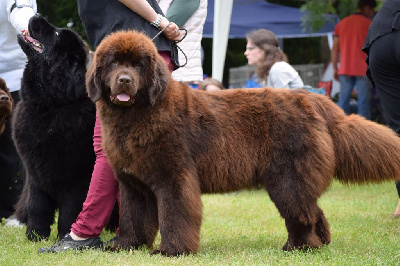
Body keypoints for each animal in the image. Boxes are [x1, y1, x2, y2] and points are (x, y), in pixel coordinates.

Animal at [13, 13, 97, 240]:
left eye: (57, 34)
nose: (37, 14)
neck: (49, 107)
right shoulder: (35, 174)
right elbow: (37, 206)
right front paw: (35, 235)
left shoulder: (76, 178)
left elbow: (70, 209)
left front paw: (66, 234)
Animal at [86, 30, 400, 256]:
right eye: (114, 62)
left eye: (139, 65)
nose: (124, 80)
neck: (137, 115)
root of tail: (314, 100)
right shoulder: (133, 183)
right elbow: (133, 217)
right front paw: (128, 246)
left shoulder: (174, 177)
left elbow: (175, 216)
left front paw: (172, 251)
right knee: (313, 210)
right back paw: (318, 244)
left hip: (287, 179)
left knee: (301, 214)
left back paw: (297, 247)